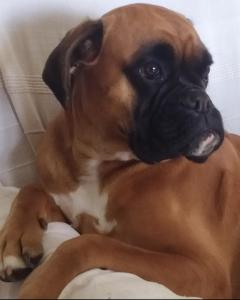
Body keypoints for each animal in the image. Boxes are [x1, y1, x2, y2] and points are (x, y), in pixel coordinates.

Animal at [0, 3, 240, 298]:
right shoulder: (71, 216)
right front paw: (15, 243)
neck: (102, 162)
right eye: (151, 70)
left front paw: (41, 284)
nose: (202, 101)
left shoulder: (204, 269)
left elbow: (88, 244)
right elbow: (30, 190)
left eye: (205, 74)